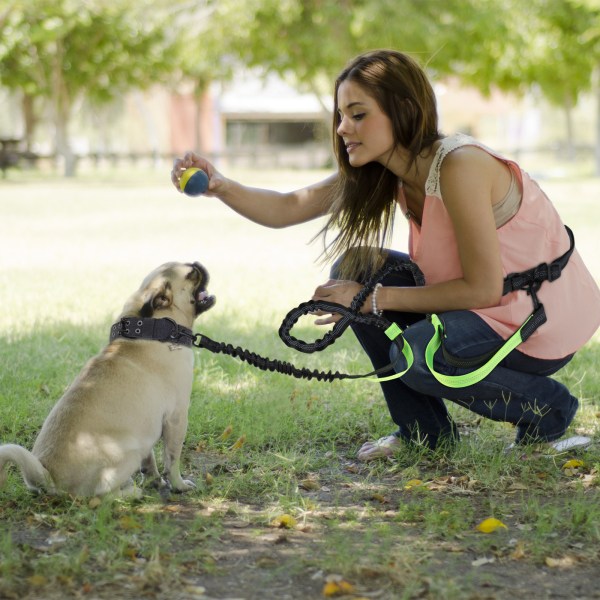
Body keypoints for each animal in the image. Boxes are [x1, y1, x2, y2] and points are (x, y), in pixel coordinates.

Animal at [0, 262, 214, 496]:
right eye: (192, 274)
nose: (199, 264)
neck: (156, 328)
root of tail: (50, 478)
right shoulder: (176, 418)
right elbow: (172, 460)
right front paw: (178, 485)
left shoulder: (148, 428)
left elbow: (149, 463)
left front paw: (155, 481)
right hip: (130, 451)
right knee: (102, 495)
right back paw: (131, 493)